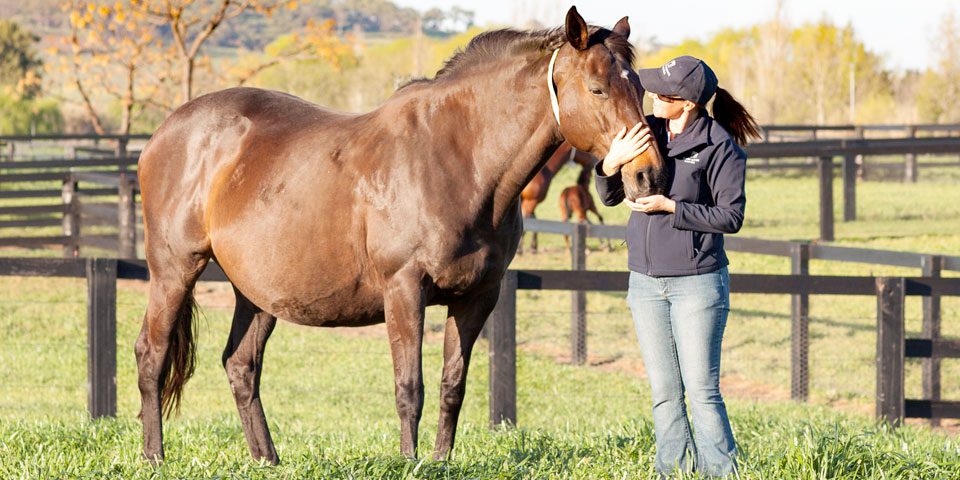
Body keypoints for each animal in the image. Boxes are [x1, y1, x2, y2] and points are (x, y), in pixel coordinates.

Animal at [135, 6, 664, 464]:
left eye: (639, 87)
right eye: (597, 89)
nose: (648, 176)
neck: (458, 158)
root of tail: (163, 132)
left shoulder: (478, 296)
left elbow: (453, 386)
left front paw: (441, 461)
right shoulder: (404, 289)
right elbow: (410, 388)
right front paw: (411, 462)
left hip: (257, 292)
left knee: (241, 365)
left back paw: (268, 460)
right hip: (174, 270)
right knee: (151, 355)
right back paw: (155, 457)